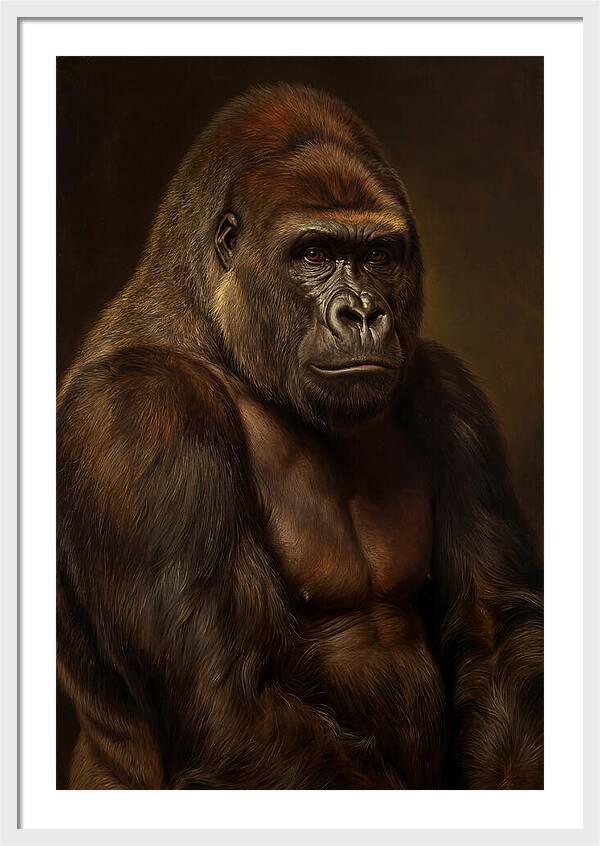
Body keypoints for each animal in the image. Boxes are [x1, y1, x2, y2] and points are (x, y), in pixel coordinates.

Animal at [57, 82, 543, 789]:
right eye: (313, 254)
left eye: (377, 256)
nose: (363, 313)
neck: (218, 335)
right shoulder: (142, 412)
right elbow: (227, 702)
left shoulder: (449, 393)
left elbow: (495, 629)